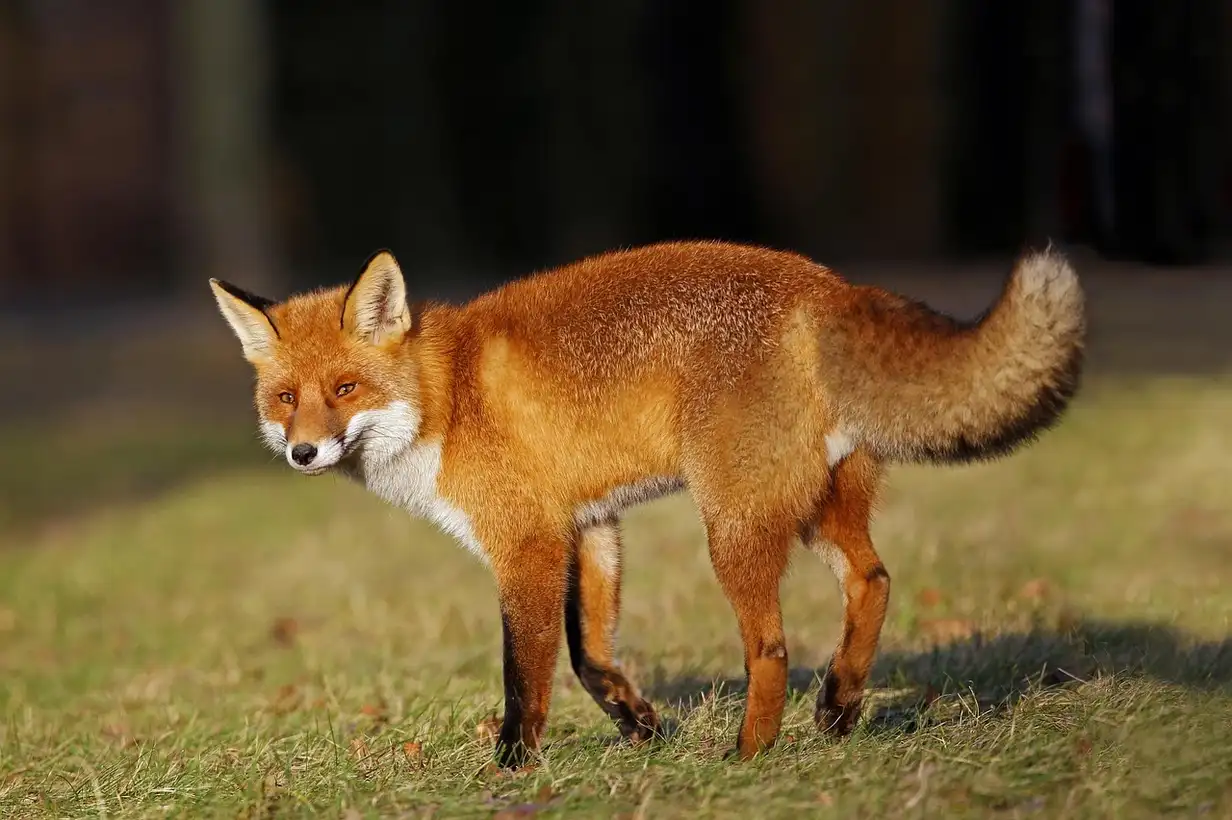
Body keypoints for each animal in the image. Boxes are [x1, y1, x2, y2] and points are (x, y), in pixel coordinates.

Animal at [210, 240, 1085, 767]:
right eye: (286, 399)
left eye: (344, 390)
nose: (302, 452)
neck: (447, 399)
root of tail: (823, 284)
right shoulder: (590, 526)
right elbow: (592, 657)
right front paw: (643, 729)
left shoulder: (526, 542)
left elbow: (525, 674)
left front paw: (513, 771)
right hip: (814, 510)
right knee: (873, 582)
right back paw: (837, 709)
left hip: (732, 527)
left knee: (771, 649)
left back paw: (749, 757)